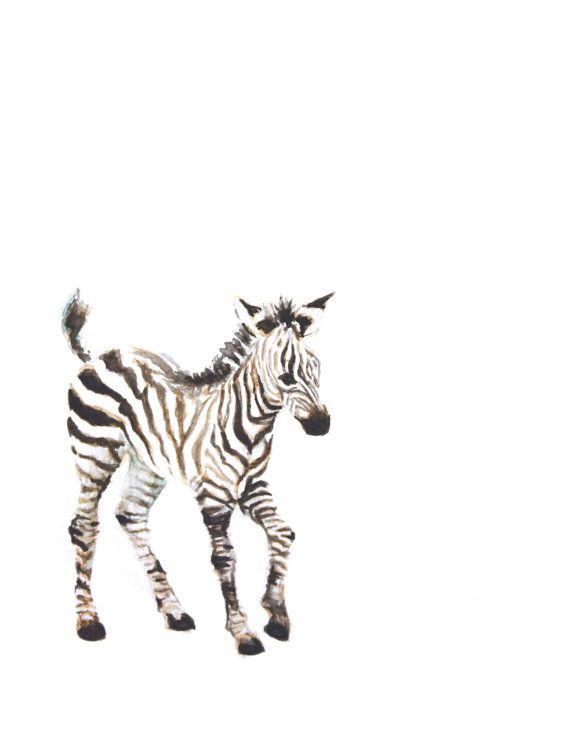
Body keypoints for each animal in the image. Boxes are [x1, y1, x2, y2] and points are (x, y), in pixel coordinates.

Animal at [63, 290, 333, 655]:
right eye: (287, 376)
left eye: (316, 369)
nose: (321, 425)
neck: (252, 424)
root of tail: (96, 357)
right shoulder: (214, 494)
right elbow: (224, 559)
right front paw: (242, 632)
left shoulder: (252, 486)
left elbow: (282, 533)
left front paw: (276, 613)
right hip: (94, 454)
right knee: (84, 527)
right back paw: (88, 621)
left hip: (147, 463)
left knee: (130, 514)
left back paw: (174, 611)